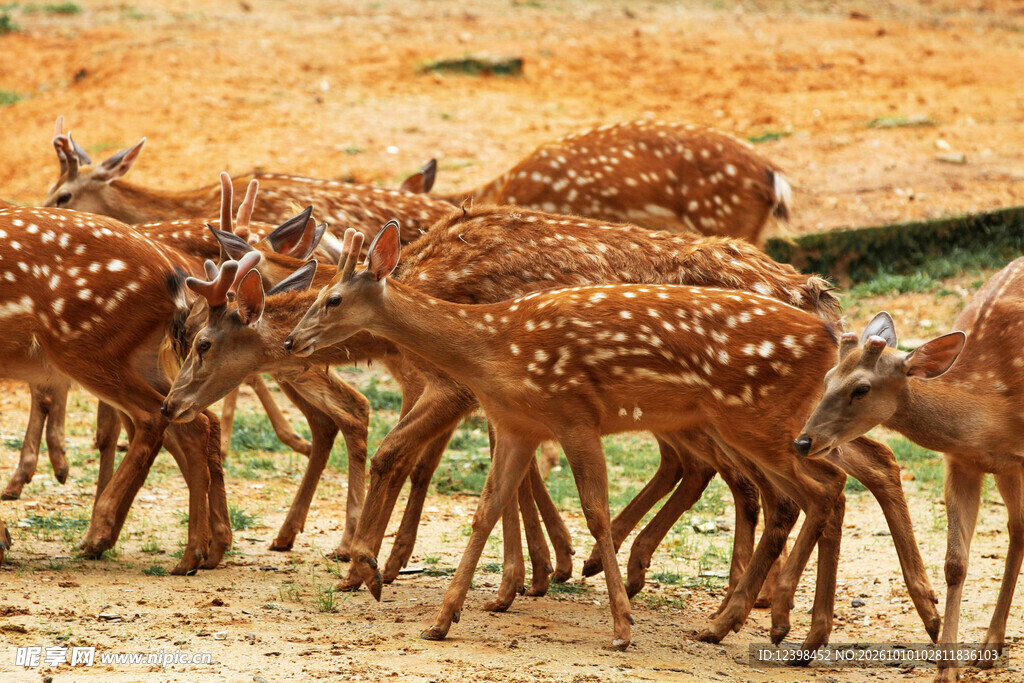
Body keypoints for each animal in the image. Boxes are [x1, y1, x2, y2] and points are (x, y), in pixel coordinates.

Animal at [795, 260, 1024, 682]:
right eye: (827, 378)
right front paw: (947, 669)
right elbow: (955, 563)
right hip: (1005, 471)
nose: (803, 441)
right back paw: (990, 645)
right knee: (1017, 529)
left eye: (862, 389)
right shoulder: (964, 461)